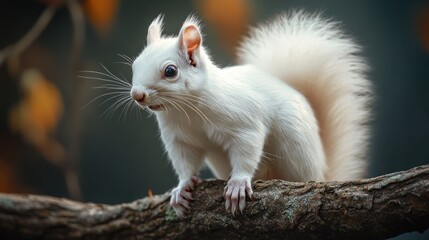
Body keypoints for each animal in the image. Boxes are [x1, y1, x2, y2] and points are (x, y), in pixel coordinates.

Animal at [129, 11, 370, 218]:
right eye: (135, 65)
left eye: (170, 71)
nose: (137, 95)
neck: (185, 110)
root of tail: (322, 172)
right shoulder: (179, 139)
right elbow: (184, 163)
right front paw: (182, 188)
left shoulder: (243, 122)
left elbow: (247, 149)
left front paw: (237, 184)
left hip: (294, 148)